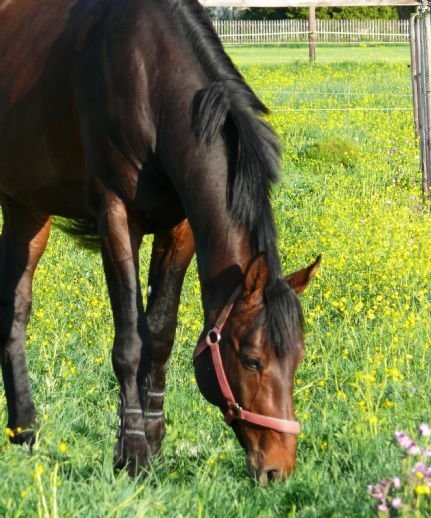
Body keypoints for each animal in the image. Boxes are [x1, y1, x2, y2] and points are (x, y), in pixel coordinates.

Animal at [0, 1, 318, 488]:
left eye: (297, 358)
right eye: (251, 360)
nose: (277, 468)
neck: (149, 74)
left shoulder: (180, 227)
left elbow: (161, 336)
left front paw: (154, 441)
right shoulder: (116, 216)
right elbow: (131, 341)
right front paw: (131, 454)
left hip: (27, 208)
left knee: (15, 311)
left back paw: (25, 431)